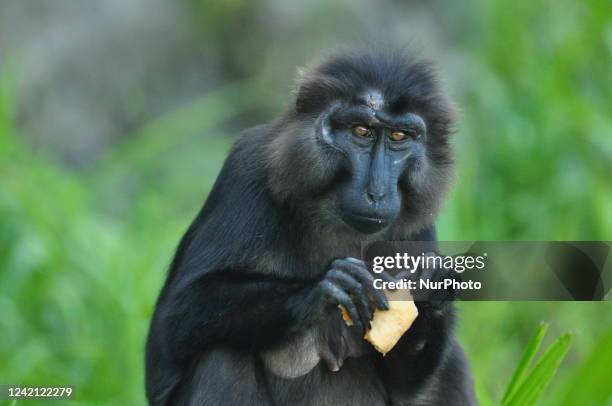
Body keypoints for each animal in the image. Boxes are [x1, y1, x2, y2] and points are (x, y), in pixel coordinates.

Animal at [146, 49, 476, 404]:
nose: (376, 192)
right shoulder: (246, 167)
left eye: (399, 136)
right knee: (221, 355)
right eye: (361, 131)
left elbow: (403, 384)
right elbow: (174, 324)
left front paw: (434, 285)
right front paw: (325, 288)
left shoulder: (418, 224)